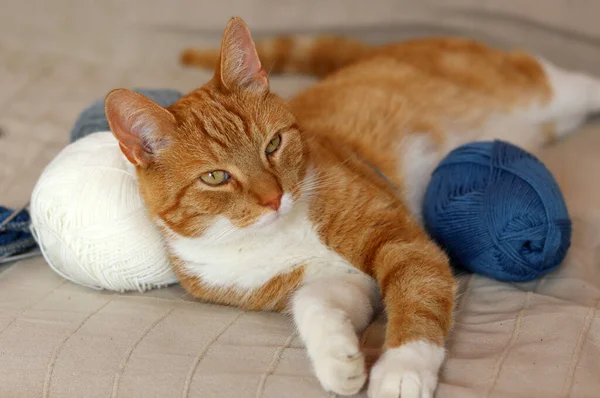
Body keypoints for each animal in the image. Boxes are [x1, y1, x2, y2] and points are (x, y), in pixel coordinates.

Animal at [105, 17, 600, 398]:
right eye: (215, 177)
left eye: (273, 145)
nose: (273, 197)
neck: (274, 237)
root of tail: (384, 48)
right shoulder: (338, 282)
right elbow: (313, 304)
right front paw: (339, 361)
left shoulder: (403, 241)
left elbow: (417, 300)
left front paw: (402, 370)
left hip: (536, 89)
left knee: (574, 81)